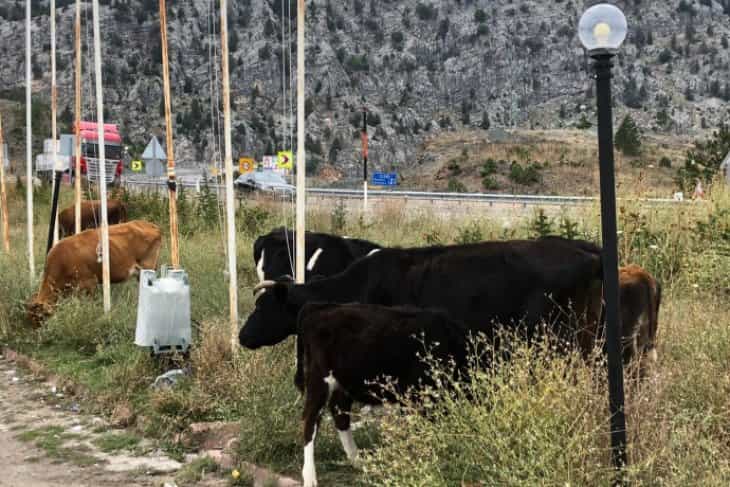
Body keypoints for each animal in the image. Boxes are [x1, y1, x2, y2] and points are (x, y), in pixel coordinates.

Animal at [294, 304, 466, 487]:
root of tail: (320, 307)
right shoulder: (414, 397)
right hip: (319, 379)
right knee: (310, 420)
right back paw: (310, 477)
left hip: (344, 382)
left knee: (339, 411)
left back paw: (357, 460)